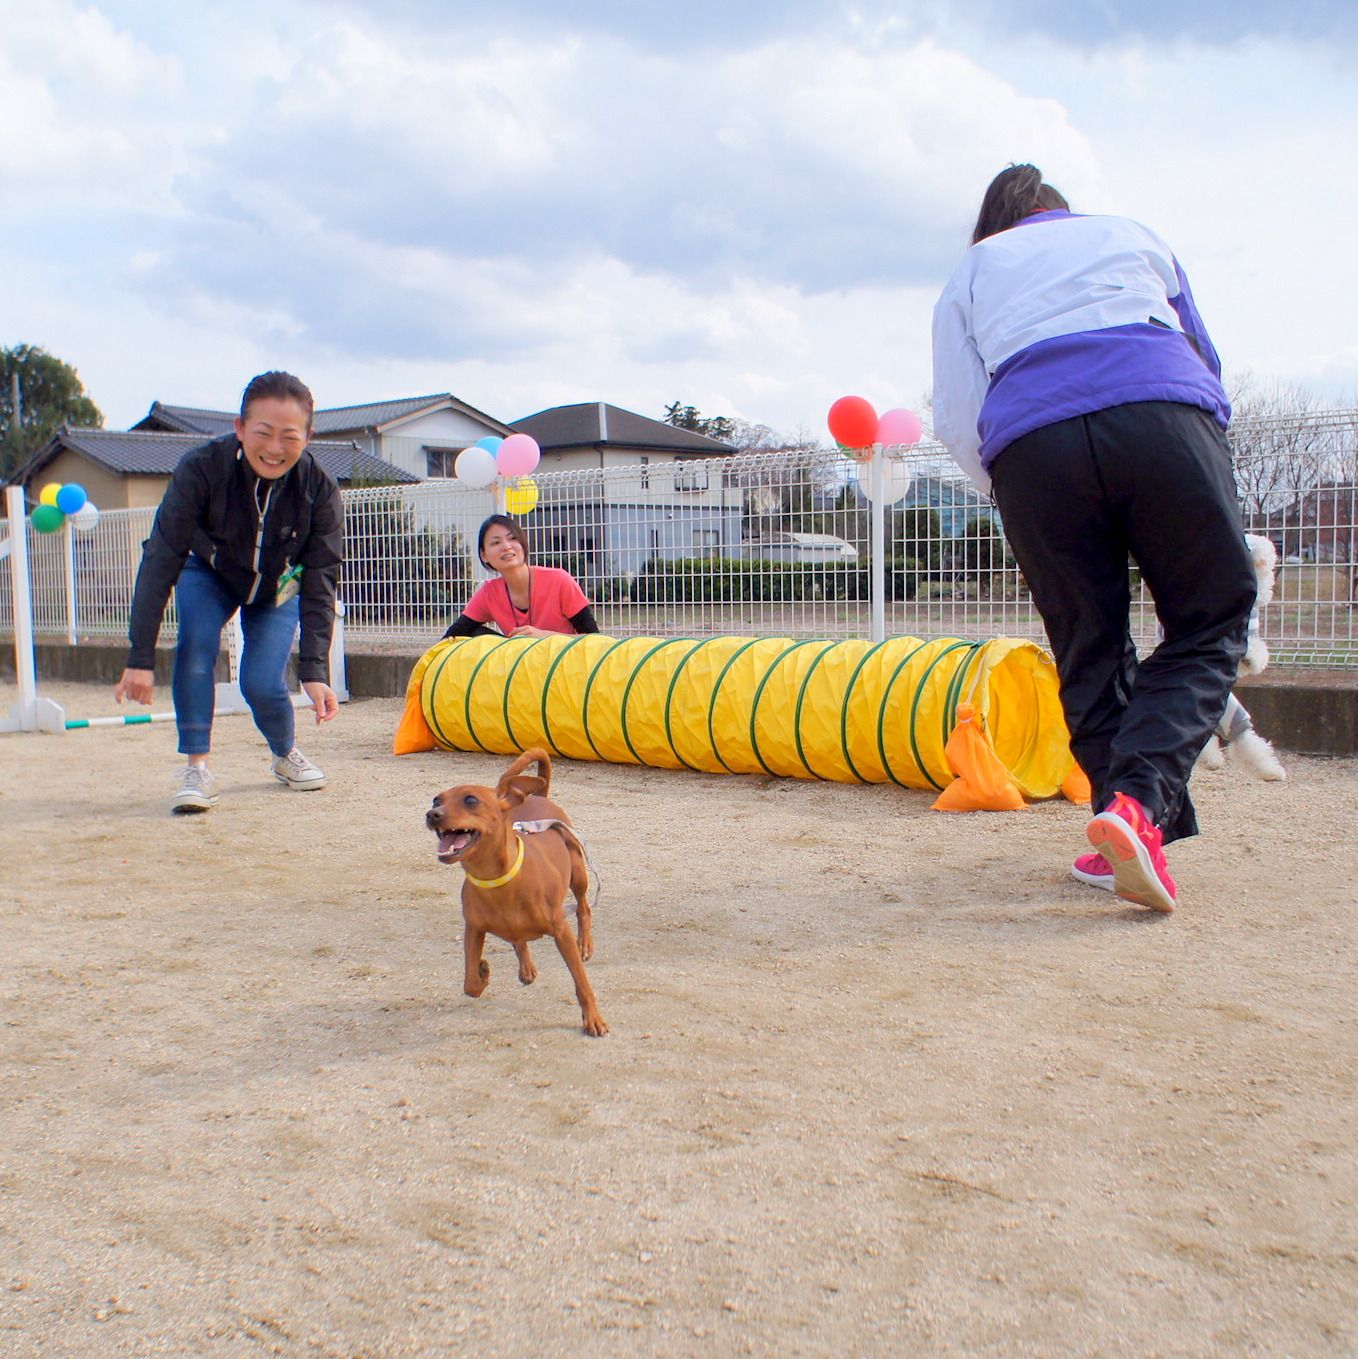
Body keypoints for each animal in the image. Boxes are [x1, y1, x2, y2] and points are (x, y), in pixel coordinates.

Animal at [425, 748, 607, 1037]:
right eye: (436, 799)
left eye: (470, 799)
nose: (432, 814)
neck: (496, 880)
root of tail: (537, 796)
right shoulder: (473, 929)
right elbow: (469, 984)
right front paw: (483, 972)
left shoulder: (561, 932)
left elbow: (582, 984)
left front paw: (593, 1019)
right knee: (518, 940)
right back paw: (526, 967)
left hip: (578, 873)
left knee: (583, 907)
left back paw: (585, 943)